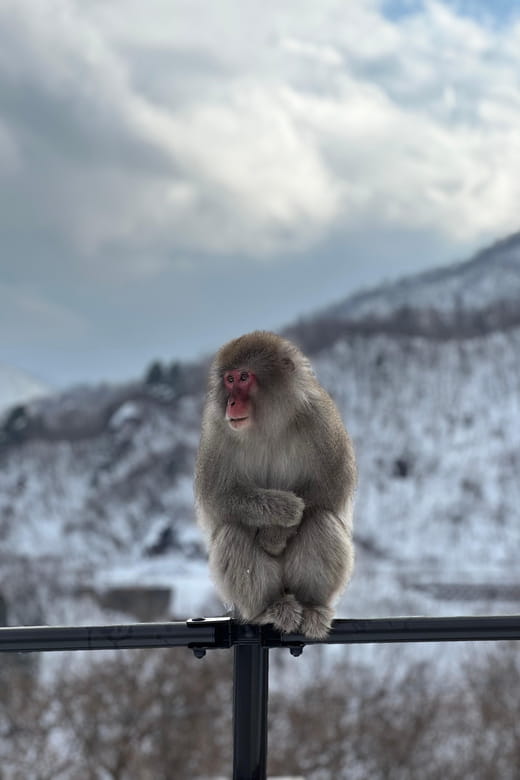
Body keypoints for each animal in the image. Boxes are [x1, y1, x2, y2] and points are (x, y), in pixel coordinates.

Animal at [194, 331, 356, 640]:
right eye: (229, 379)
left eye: (244, 377)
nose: (231, 403)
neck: (269, 423)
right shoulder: (217, 430)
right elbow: (217, 497)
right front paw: (284, 511)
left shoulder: (320, 418)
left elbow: (332, 484)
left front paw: (277, 534)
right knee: (231, 533)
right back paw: (269, 609)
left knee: (321, 519)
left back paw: (312, 607)